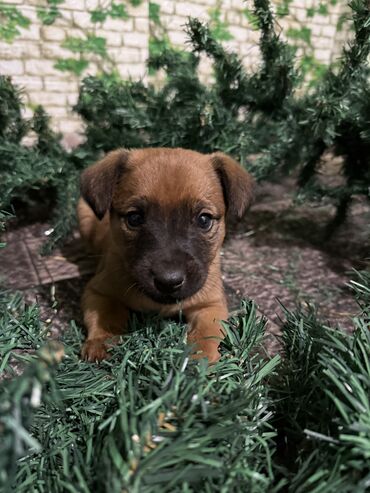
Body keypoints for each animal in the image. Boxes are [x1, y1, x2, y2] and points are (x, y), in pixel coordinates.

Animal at [76, 146, 253, 362]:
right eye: (134, 218)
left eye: (204, 220)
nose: (169, 281)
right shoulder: (98, 291)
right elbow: (106, 315)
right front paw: (102, 340)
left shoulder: (211, 304)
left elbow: (206, 331)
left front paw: (198, 358)